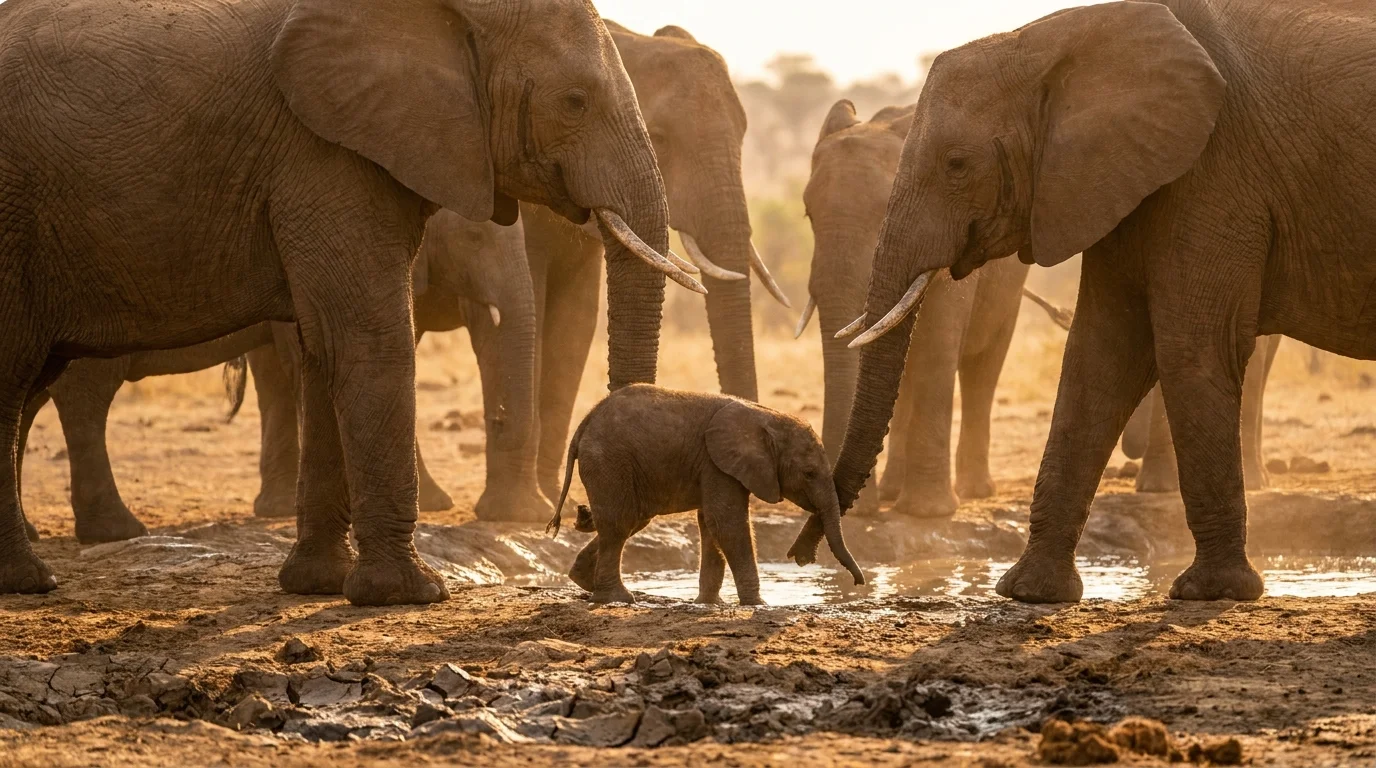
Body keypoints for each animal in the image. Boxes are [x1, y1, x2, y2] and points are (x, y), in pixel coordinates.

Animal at [546, 384, 864, 605]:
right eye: (809, 473)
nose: (859, 584)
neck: (766, 416)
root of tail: (584, 424)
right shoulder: (717, 462)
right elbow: (727, 523)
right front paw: (759, 604)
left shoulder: (715, 465)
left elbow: (710, 525)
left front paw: (711, 604)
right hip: (609, 461)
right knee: (620, 524)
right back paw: (618, 598)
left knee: (631, 520)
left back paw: (584, 581)